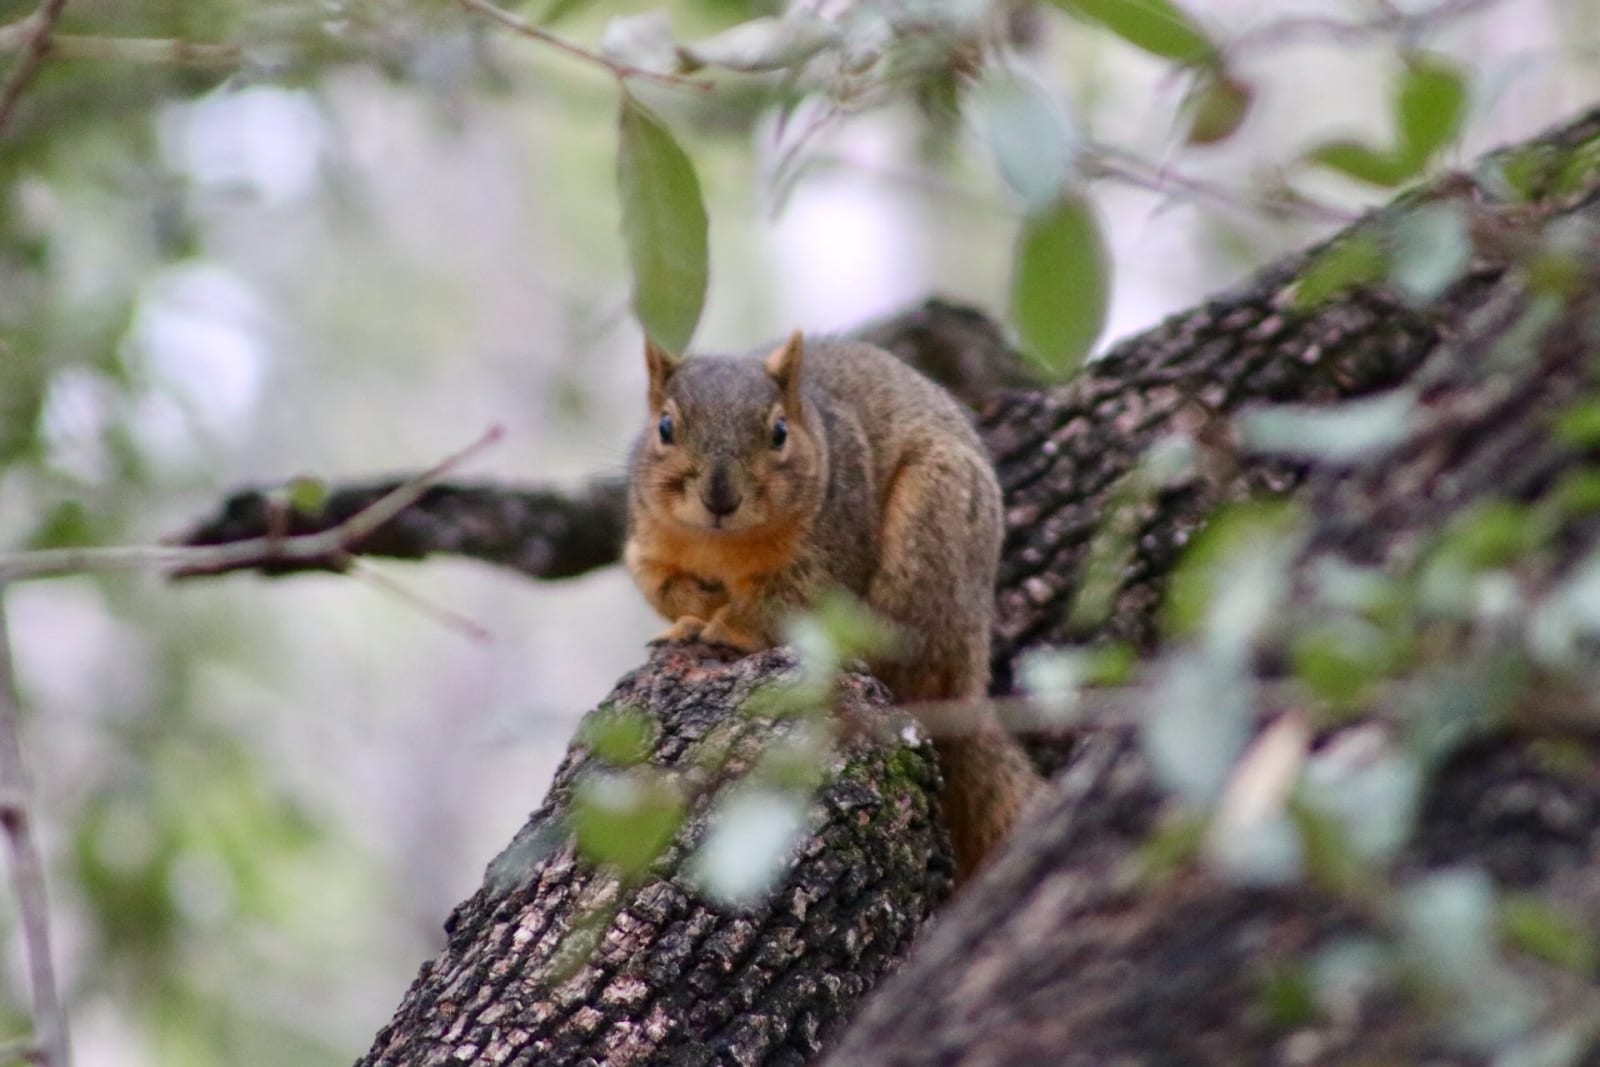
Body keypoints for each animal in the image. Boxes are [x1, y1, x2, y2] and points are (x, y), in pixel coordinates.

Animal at [624, 330, 1041, 881]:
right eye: (665, 427)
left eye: (779, 432)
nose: (720, 497)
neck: (722, 544)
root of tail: (968, 677)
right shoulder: (647, 549)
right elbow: (665, 588)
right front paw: (692, 617)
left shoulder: (830, 554)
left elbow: (784, 603)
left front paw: (729, 627)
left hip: (932, 524)